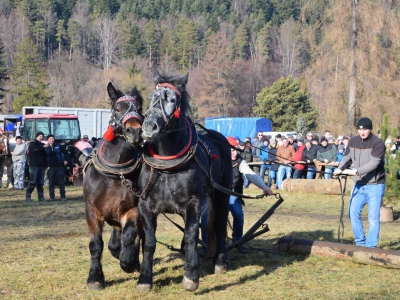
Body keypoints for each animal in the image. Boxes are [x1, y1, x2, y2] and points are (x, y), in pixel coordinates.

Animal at [83, 82, 145, 290]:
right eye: (118, 109)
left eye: (139, 108)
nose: (135, 131)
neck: (116, 171)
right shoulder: (92, 210)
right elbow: (96, 244)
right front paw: (95, 277)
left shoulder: (132, 209)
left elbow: (129, 236)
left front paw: (128, 261)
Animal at [138, 71, 231, 292]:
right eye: (152, 97)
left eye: (173, 100)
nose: (149, 127)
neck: (167, 167)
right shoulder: (145, 207)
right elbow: (149, 242)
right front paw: (145, 279)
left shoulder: (192, 205)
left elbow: (191, 237)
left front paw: (191, 276)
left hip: (222, 195)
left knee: (220, 225)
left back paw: (220, 262)